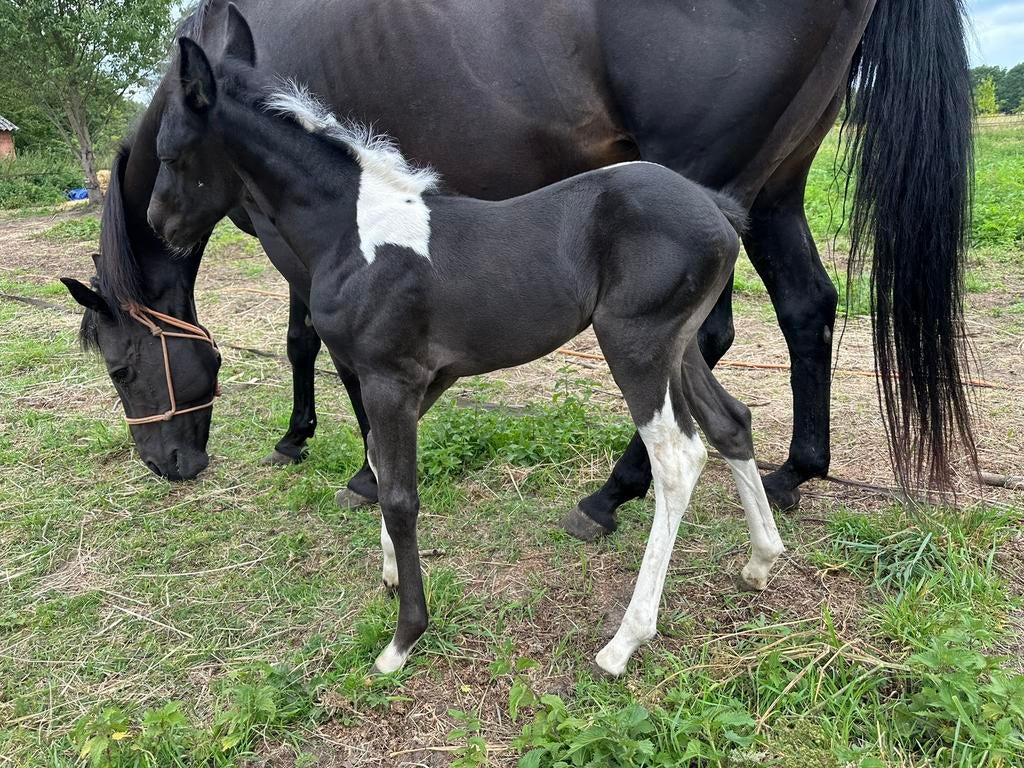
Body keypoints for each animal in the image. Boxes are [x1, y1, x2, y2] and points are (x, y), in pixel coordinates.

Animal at [61, 0, 975, 535]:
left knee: (706, 341)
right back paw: (793, 473)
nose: (166, 465)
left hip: (700, 181)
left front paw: (345, 461)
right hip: (775, 184)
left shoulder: (294, 239)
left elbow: (312, 344)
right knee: (806, 308)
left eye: (119, 367)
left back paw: (611, 495)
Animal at [143, 13, 786, 674]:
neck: (353, 230)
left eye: (170, 153)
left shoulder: (389, 378)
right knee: (730, 421)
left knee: (677, 459)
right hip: (679, 348)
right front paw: (389, 575)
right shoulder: (422, 379)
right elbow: (378, 460)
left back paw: (623, 642)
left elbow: (400, 496)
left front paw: (403, 639)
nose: (157, 223)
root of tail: (714, 205)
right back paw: (761, 560)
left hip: (636, 345)